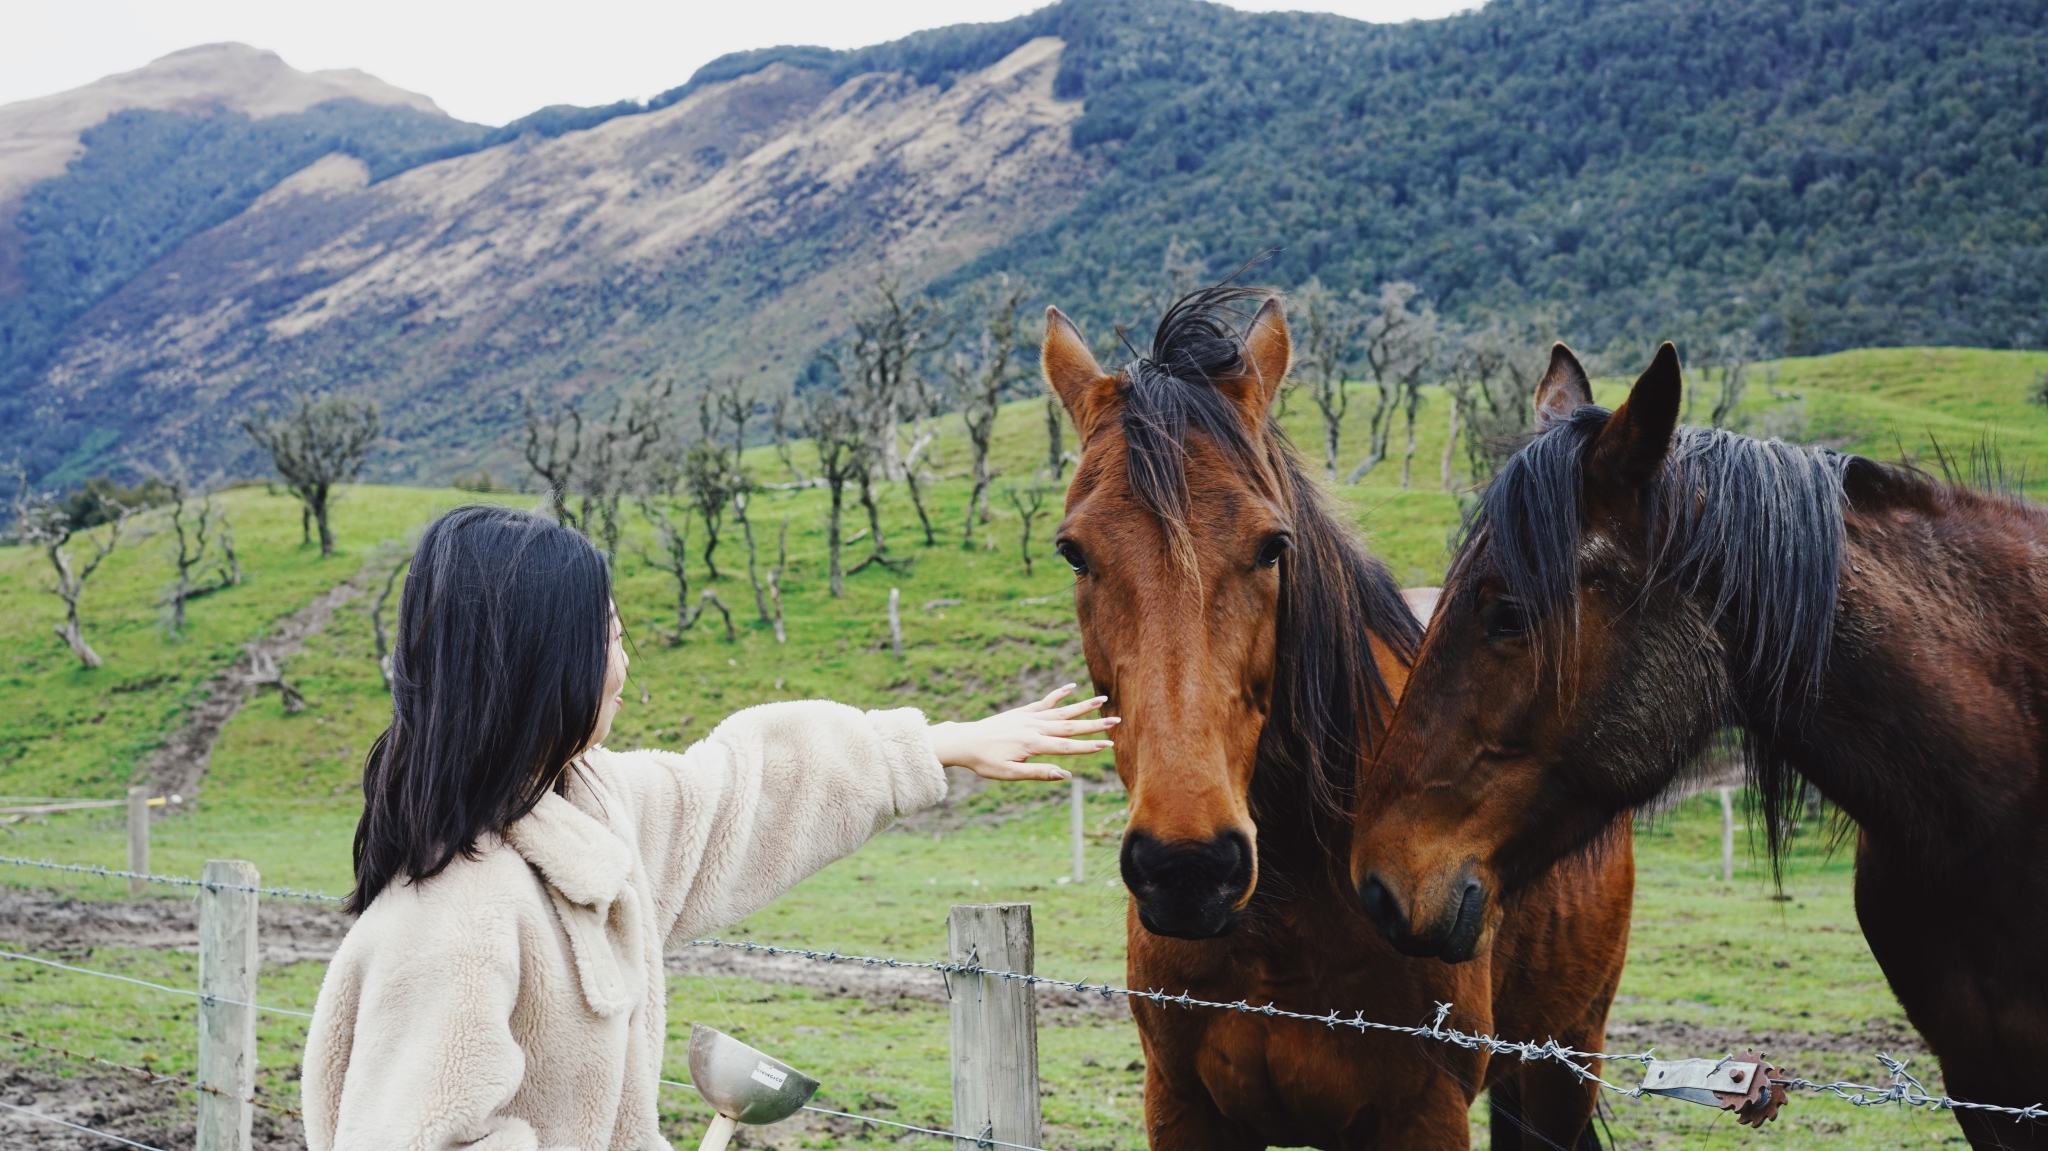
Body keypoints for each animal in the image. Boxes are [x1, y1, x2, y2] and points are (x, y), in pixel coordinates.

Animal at [1048, 282, 1638, 1138]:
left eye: (1273, 545)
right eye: (1073, 551)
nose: (1188, 866)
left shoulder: (1425, 1113)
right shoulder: (1182, 1102)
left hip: (1563, 1059)